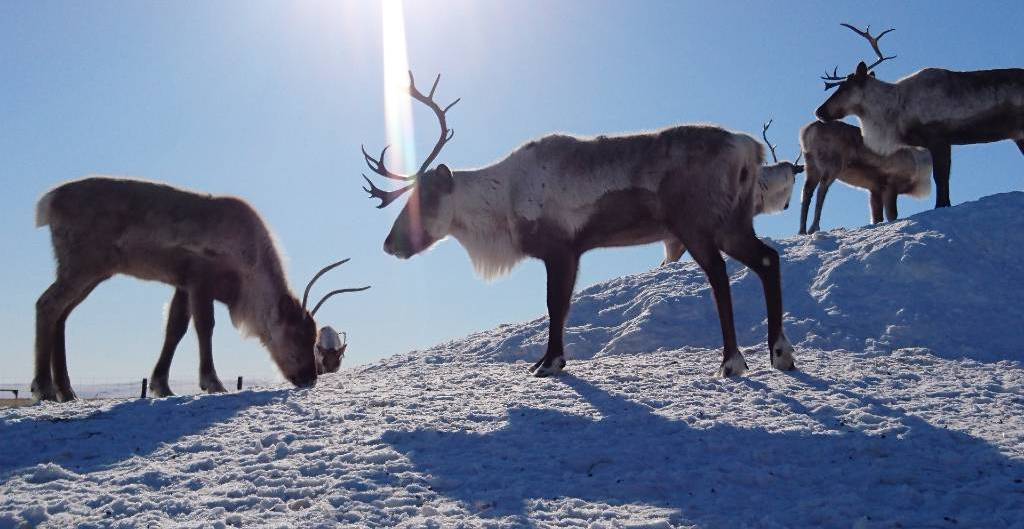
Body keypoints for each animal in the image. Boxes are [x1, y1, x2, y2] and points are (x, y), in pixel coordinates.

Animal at [32, 177, 367, 401]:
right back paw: (44, 387)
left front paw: (162, 385)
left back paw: (67, 390)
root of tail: (48, 203)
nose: (310, 378)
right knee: (47, 304)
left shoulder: (182, 283)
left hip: (90, 271)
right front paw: (212, 382)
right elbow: (204, 326)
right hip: (84, 263)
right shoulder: (199, 278)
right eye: (297, 335)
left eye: (314, 338)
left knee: (62, 314)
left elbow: (175, 328)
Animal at [799, 120, 933, 234]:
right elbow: (892, 215)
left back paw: (802, 231)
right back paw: (814, 227)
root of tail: (808, 131)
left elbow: (877, 217)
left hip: (811, 167)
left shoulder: (875, 189)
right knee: (821, 191)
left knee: (806, 193)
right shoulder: (890, 185)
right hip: (832, 167)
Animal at [815, 23, 1024, 208]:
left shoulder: (939, 137)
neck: (895, 109)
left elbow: (941, 177)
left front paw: (942, 205)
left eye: (844, 88)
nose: (819, 111)